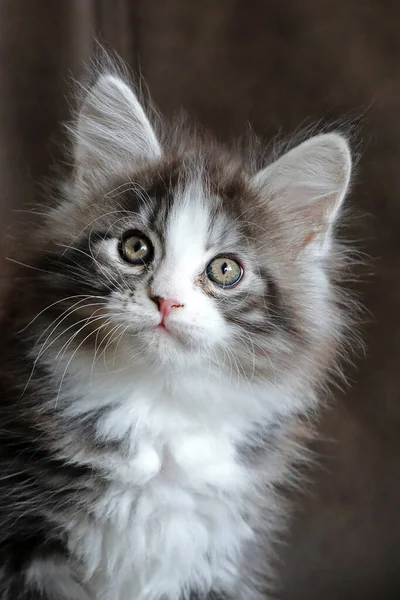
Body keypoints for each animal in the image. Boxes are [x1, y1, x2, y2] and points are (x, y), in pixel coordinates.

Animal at [0, 65, 352, 600]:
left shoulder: (218, 558)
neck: (159, 405)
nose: (166, 299)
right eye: (135, 247)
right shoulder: (24, 539)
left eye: (225, 270)